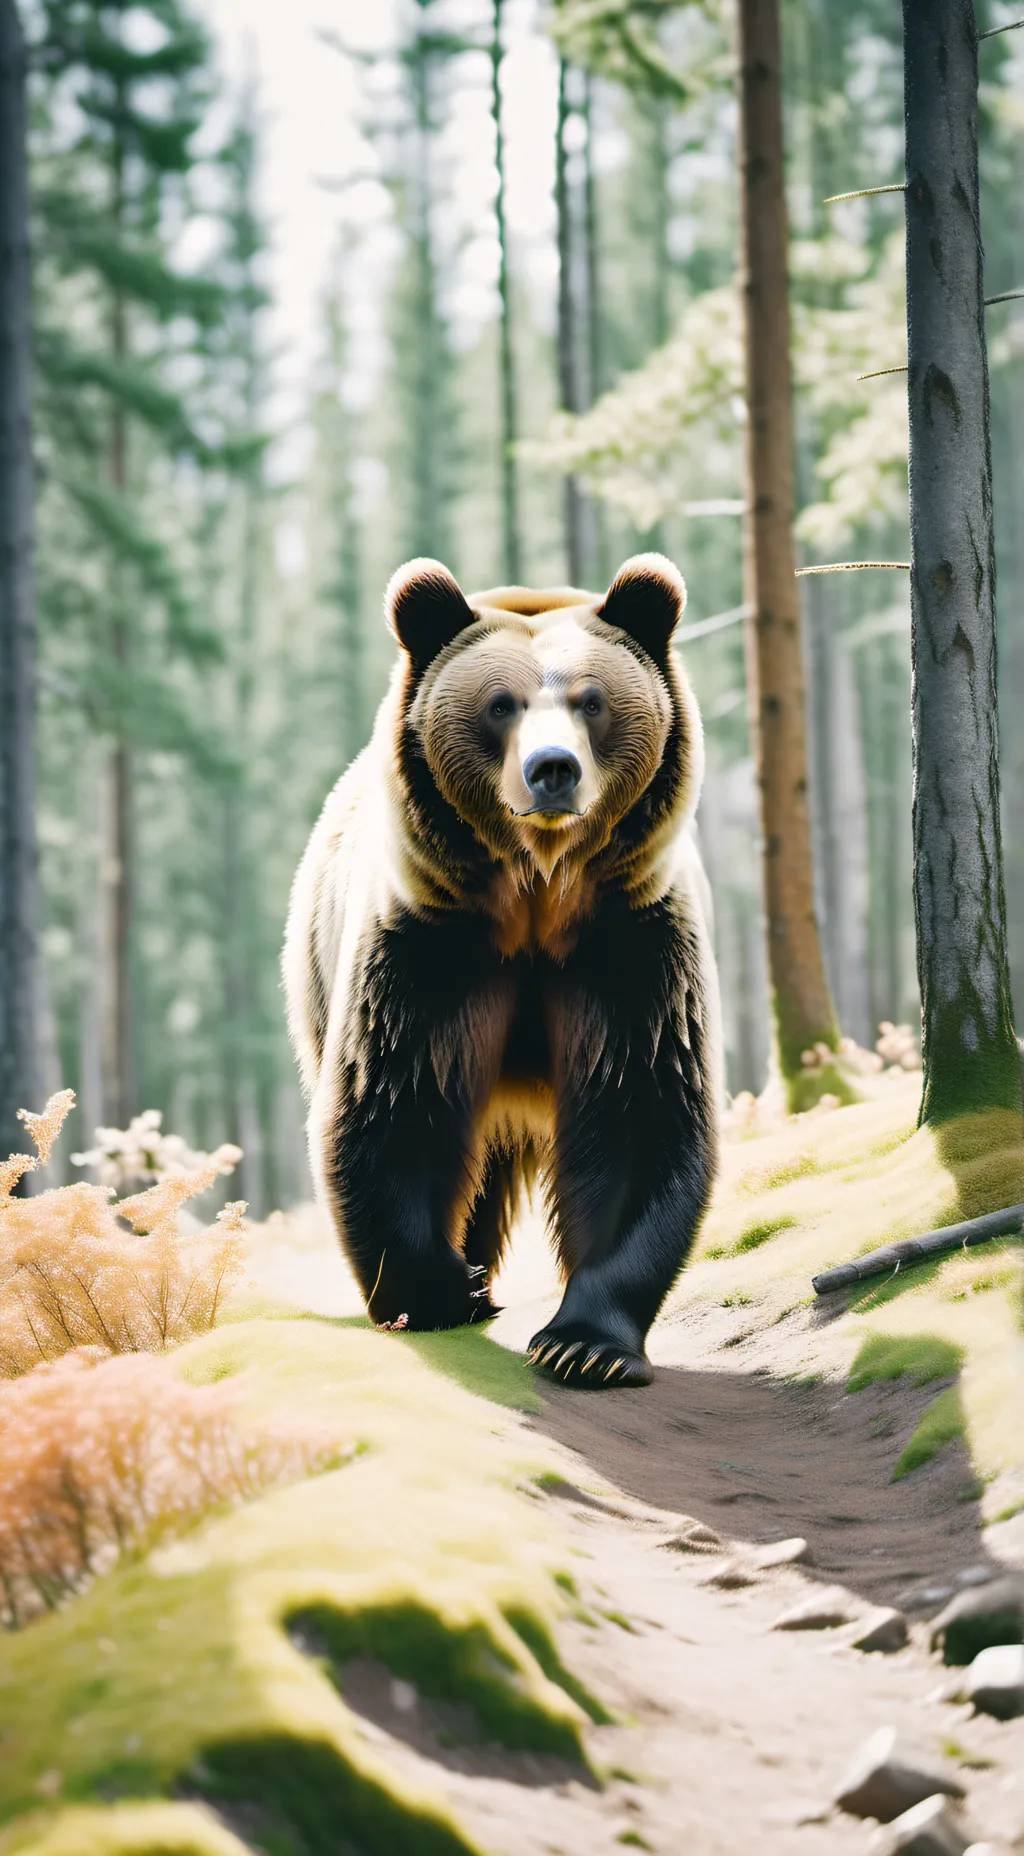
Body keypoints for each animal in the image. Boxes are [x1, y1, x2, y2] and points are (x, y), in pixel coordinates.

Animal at [283, 552, 721, 1387]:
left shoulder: (630, 946)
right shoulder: (426, 946)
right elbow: (395, 1103)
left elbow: (638, 1109)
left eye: (592, 701)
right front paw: (443, 1290)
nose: (553, 770)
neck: (538, 898)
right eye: (499, 705)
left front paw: (585, 1345)